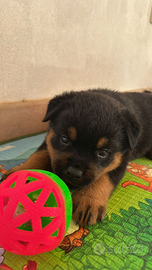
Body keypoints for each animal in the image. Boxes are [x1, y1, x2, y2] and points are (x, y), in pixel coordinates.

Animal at [1, 89, 152, 226]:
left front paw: (89, 201)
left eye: (103, 153)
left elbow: (104, 178)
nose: (73, 173)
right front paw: (21, 172)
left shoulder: (121, 158)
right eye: (64, 139)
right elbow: (39, 155)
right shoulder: (50, 138)